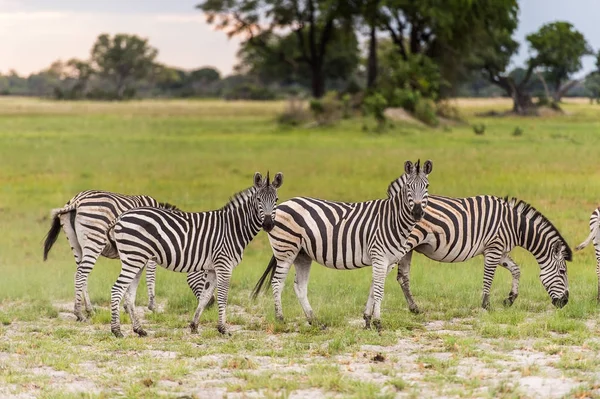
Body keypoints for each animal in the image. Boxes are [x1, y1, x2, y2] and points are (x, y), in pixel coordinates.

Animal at [43, 190, 177, 322]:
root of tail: (77, 200)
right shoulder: (148, 251)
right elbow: (150, 276)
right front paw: (152, 307)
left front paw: (127, 307)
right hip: (94, 239)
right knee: (81, 274)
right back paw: (79, 313)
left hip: (75, 244)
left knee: (80, 274)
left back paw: (89, 310)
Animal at [105, 172, 284, 338]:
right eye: (259, 200)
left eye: (276, 200)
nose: (268, 225)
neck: (233, 227)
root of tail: (121, 216)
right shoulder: (224, 265)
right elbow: (223, 297)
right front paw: (223, 329)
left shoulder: (212, 268)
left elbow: (205, 296)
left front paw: (194, 325)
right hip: (133, 258)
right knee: (117, 289)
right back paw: (116, 331)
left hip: (137, 260)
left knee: (129, 295)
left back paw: (139, 330)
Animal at [251, 159, 428, 332]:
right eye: (409, 187)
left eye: (426, 186)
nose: (417, 213)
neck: (392, 218)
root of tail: (282, 204)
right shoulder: (379, 257)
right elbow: (379, 291)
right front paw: (378, 323)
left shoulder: (388, 261)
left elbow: (373, 288)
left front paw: (367, 320)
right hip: (285, 250)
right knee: (277, 282)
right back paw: (280, 320)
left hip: (302, 254)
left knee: (299, 287)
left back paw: (315, 321)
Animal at [382, 175, 568, 312]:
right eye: (562, 271)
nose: (565, 302)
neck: (514, 225)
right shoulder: (494, 248)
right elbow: (488, 277)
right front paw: (486, 305)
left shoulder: (499, 251)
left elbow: (516, 269)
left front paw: (510, 299)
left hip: (408, 249)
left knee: (402, 277)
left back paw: (414, 308)